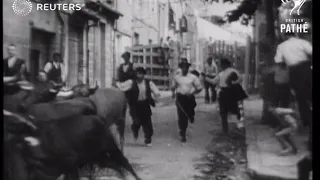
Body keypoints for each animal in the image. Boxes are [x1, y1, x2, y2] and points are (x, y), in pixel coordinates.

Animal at [3, 109, 141, 180]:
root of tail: (98, 118)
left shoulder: (71, 162)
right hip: (99, 157)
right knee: (116, 165)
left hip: (109, 147)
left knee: (124, 162)